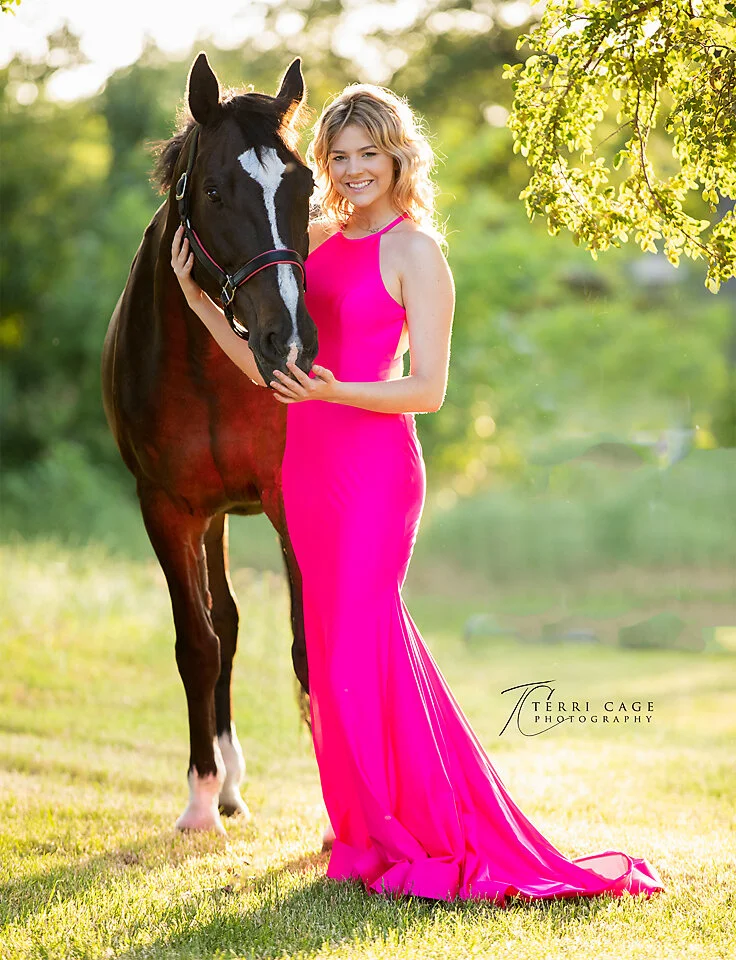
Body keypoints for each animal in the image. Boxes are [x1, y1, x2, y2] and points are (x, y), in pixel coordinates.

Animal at [101, 52, 319, 836]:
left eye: (305, 184)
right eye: (217, 190)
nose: (289, 340)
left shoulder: (289, 501)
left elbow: (308, 643)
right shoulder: (167, 509)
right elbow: (197, 643)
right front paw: (199, 799)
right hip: (211, 517)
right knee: (221, 621)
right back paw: (225, 784)